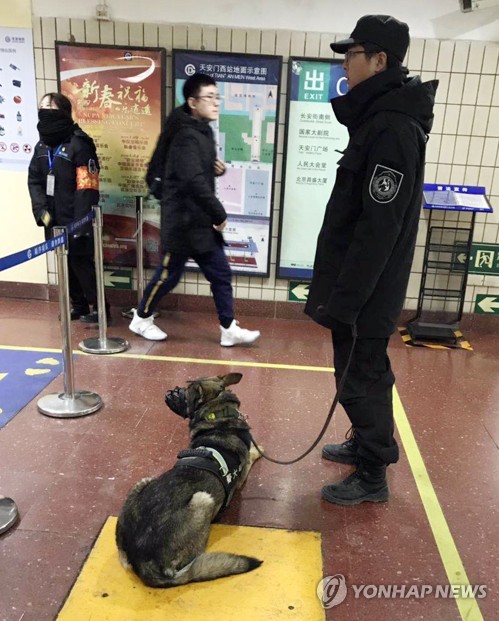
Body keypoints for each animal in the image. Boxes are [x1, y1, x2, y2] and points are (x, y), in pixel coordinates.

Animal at [116, 372, 266, 588]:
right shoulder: (243, 473)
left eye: (183, 394)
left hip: (143, 481)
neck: (217, 414)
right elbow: (253, 454)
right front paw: (258, 449)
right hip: (203, 499)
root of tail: (144, 563)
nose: (170, 391)